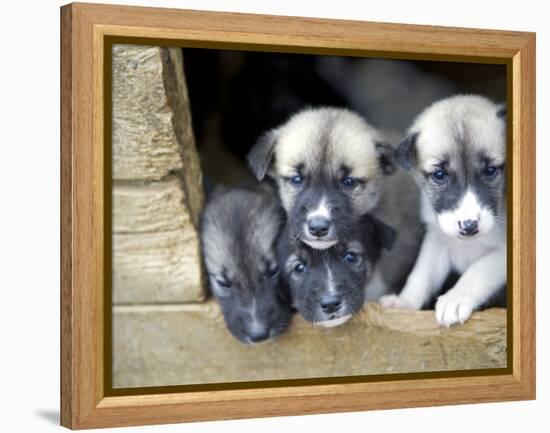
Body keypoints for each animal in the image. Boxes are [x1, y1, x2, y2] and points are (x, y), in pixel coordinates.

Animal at [382, 93, 506, 324]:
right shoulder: (437, 240)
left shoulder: (502, 254)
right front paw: (405, 302)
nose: (469, 226)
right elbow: (421, 274)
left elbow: (478, 271)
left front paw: (455, 299)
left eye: (491, 170)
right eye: (439, 175)